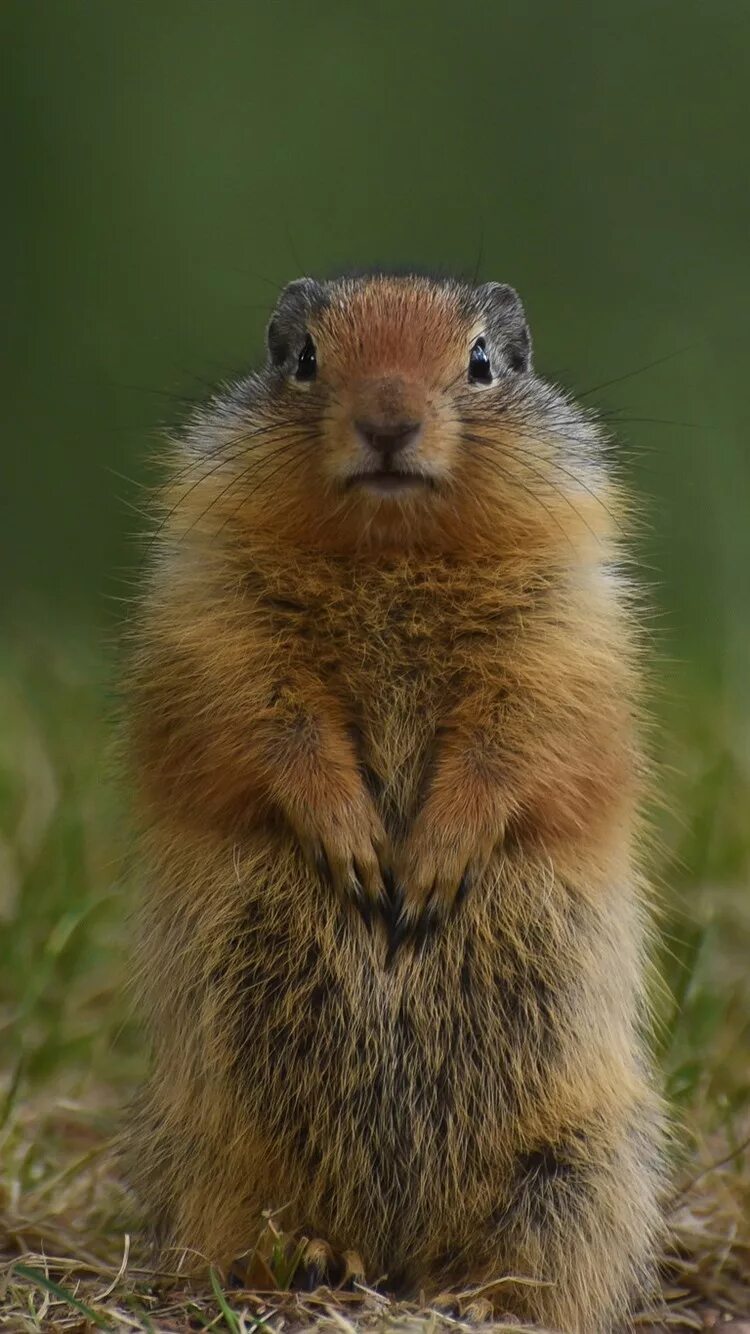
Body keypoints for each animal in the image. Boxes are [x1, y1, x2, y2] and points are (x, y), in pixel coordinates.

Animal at [124, 273, 664, 1334]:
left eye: (483, 360)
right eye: (302, 358)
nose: (387, 422)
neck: (392, 555)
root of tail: (395, 1250)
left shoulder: (565, 628)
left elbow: (525, 727)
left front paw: (427, 868)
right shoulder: (212, 606)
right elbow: (258, 712)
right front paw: (357, 847)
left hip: (584, 1162)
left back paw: (476, 1294)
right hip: (213, 1150)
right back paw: (308, 1260)